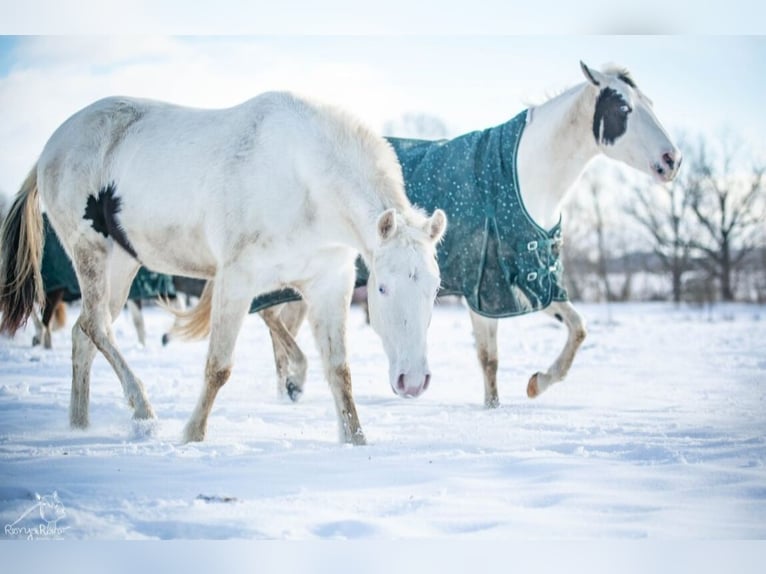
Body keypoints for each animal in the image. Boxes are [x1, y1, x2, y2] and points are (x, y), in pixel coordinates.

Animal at [0, 92, 448, 448]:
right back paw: (142, 409)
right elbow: (218, 366)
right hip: (90, 252)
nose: (412, 381)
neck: (305, 180)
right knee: (97, 329)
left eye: (433, 289)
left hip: (122, 264)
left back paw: (79, 425)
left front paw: (355, 439)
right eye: (383, 289)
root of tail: (52, 145)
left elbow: (339, 371)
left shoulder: (328, 285)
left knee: (84, 336)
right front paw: (192, 435)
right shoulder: (237, 280)